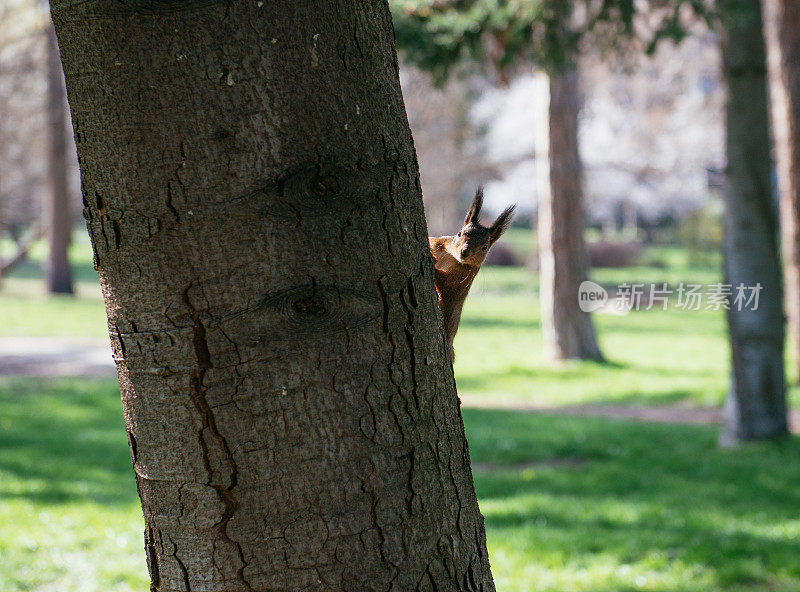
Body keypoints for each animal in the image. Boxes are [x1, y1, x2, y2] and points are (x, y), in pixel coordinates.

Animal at [428, 187, 516, 364]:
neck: (451, 257)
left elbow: (445, 284)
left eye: (485, 247)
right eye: (459, 233)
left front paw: (432, 261)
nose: (464, 252)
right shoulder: (438, 243)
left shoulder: (461, 279)